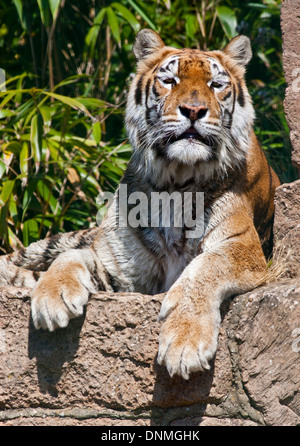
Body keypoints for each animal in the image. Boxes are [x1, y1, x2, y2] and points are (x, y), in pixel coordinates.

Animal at [0, 29, 282, 380]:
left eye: (216, 85)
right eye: (170, 80)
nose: (193, 110)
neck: (176, 181)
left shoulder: (242, 247)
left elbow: (205, 268)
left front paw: (185, 342)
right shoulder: (120, 271)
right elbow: (73, 256)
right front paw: (53, 297)